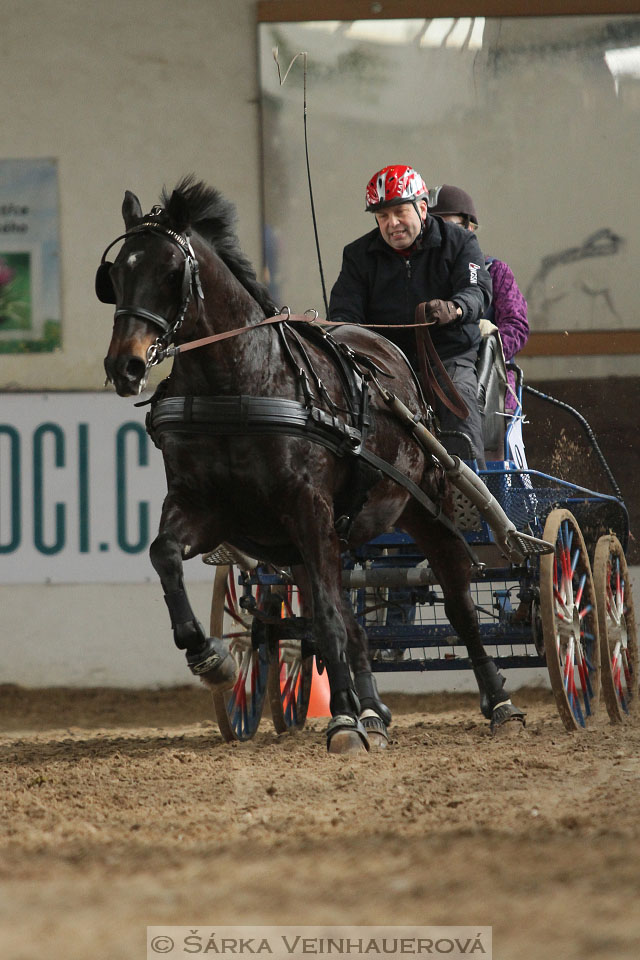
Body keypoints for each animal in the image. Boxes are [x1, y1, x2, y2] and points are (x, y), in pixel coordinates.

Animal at [99, 176, 520, 752]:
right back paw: (372, 712)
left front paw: (340, 719)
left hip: (422, 510)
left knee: (457, 602)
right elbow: (164, 553)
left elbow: (326, 617)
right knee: (350, 618)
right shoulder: (208, 508)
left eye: (169, 272)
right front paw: (209, 657)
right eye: (116, 274)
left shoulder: (308, 508)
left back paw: (497, 701)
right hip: (314, 540)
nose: (125, 366)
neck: (238, 387)